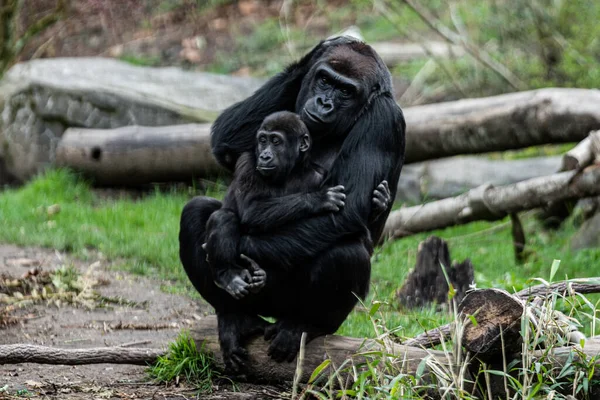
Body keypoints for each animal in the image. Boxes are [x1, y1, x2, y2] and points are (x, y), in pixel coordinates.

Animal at [206, 111, 346, 298]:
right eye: (262, 140)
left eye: (276, 141)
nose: (265, 155)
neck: (291, 169)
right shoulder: (247, 161)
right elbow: (252, 209)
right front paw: (320, 198)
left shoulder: (319, 174)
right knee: (223, 217)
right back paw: (228, 275)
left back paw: (260, 278)